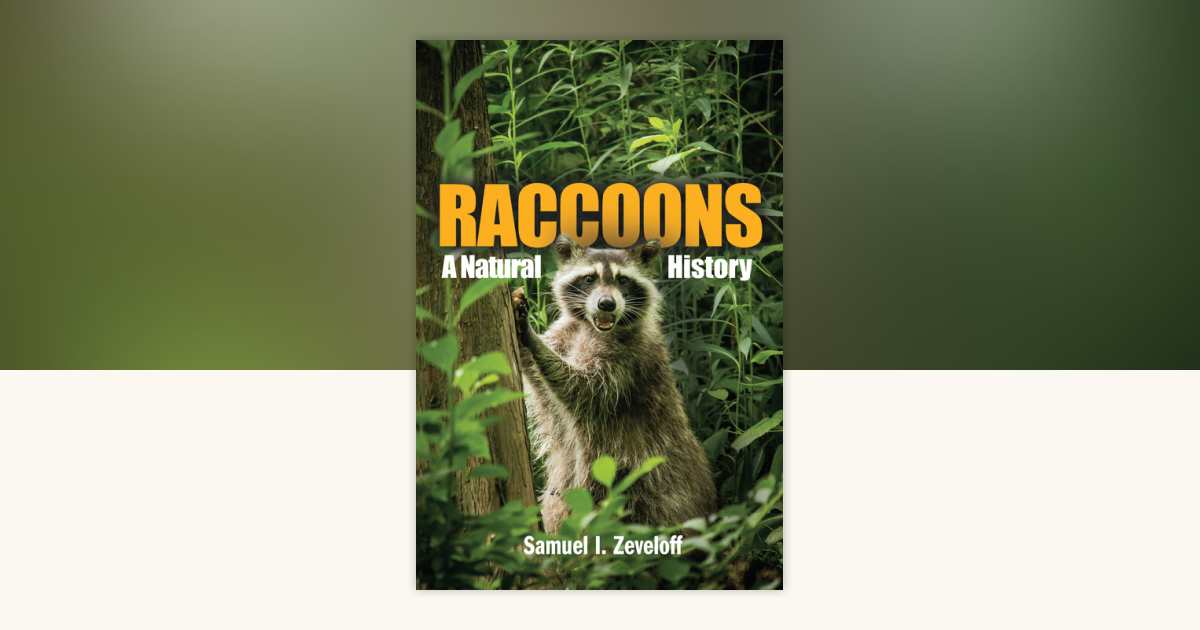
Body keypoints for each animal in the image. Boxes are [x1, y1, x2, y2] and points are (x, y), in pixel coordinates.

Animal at [512, 236, 718, 533]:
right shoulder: (566, 334)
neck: (590, 327)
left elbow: (584, 388)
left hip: (646, 482)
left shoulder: (629, 359)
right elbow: (542, 388)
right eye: (589, 278)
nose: (607, 304)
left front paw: (533, 340)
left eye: (623, 280)